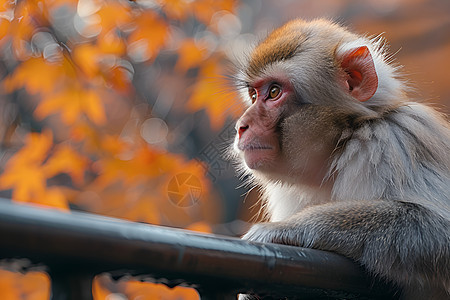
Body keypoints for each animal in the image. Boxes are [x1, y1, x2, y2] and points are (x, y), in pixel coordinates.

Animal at [232, 19, 450, 300]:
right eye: (254, 94)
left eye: (274, 92)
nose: (241, 126)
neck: (345, 139)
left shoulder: (394, 143)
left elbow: (440, 231)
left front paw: (286, 229)